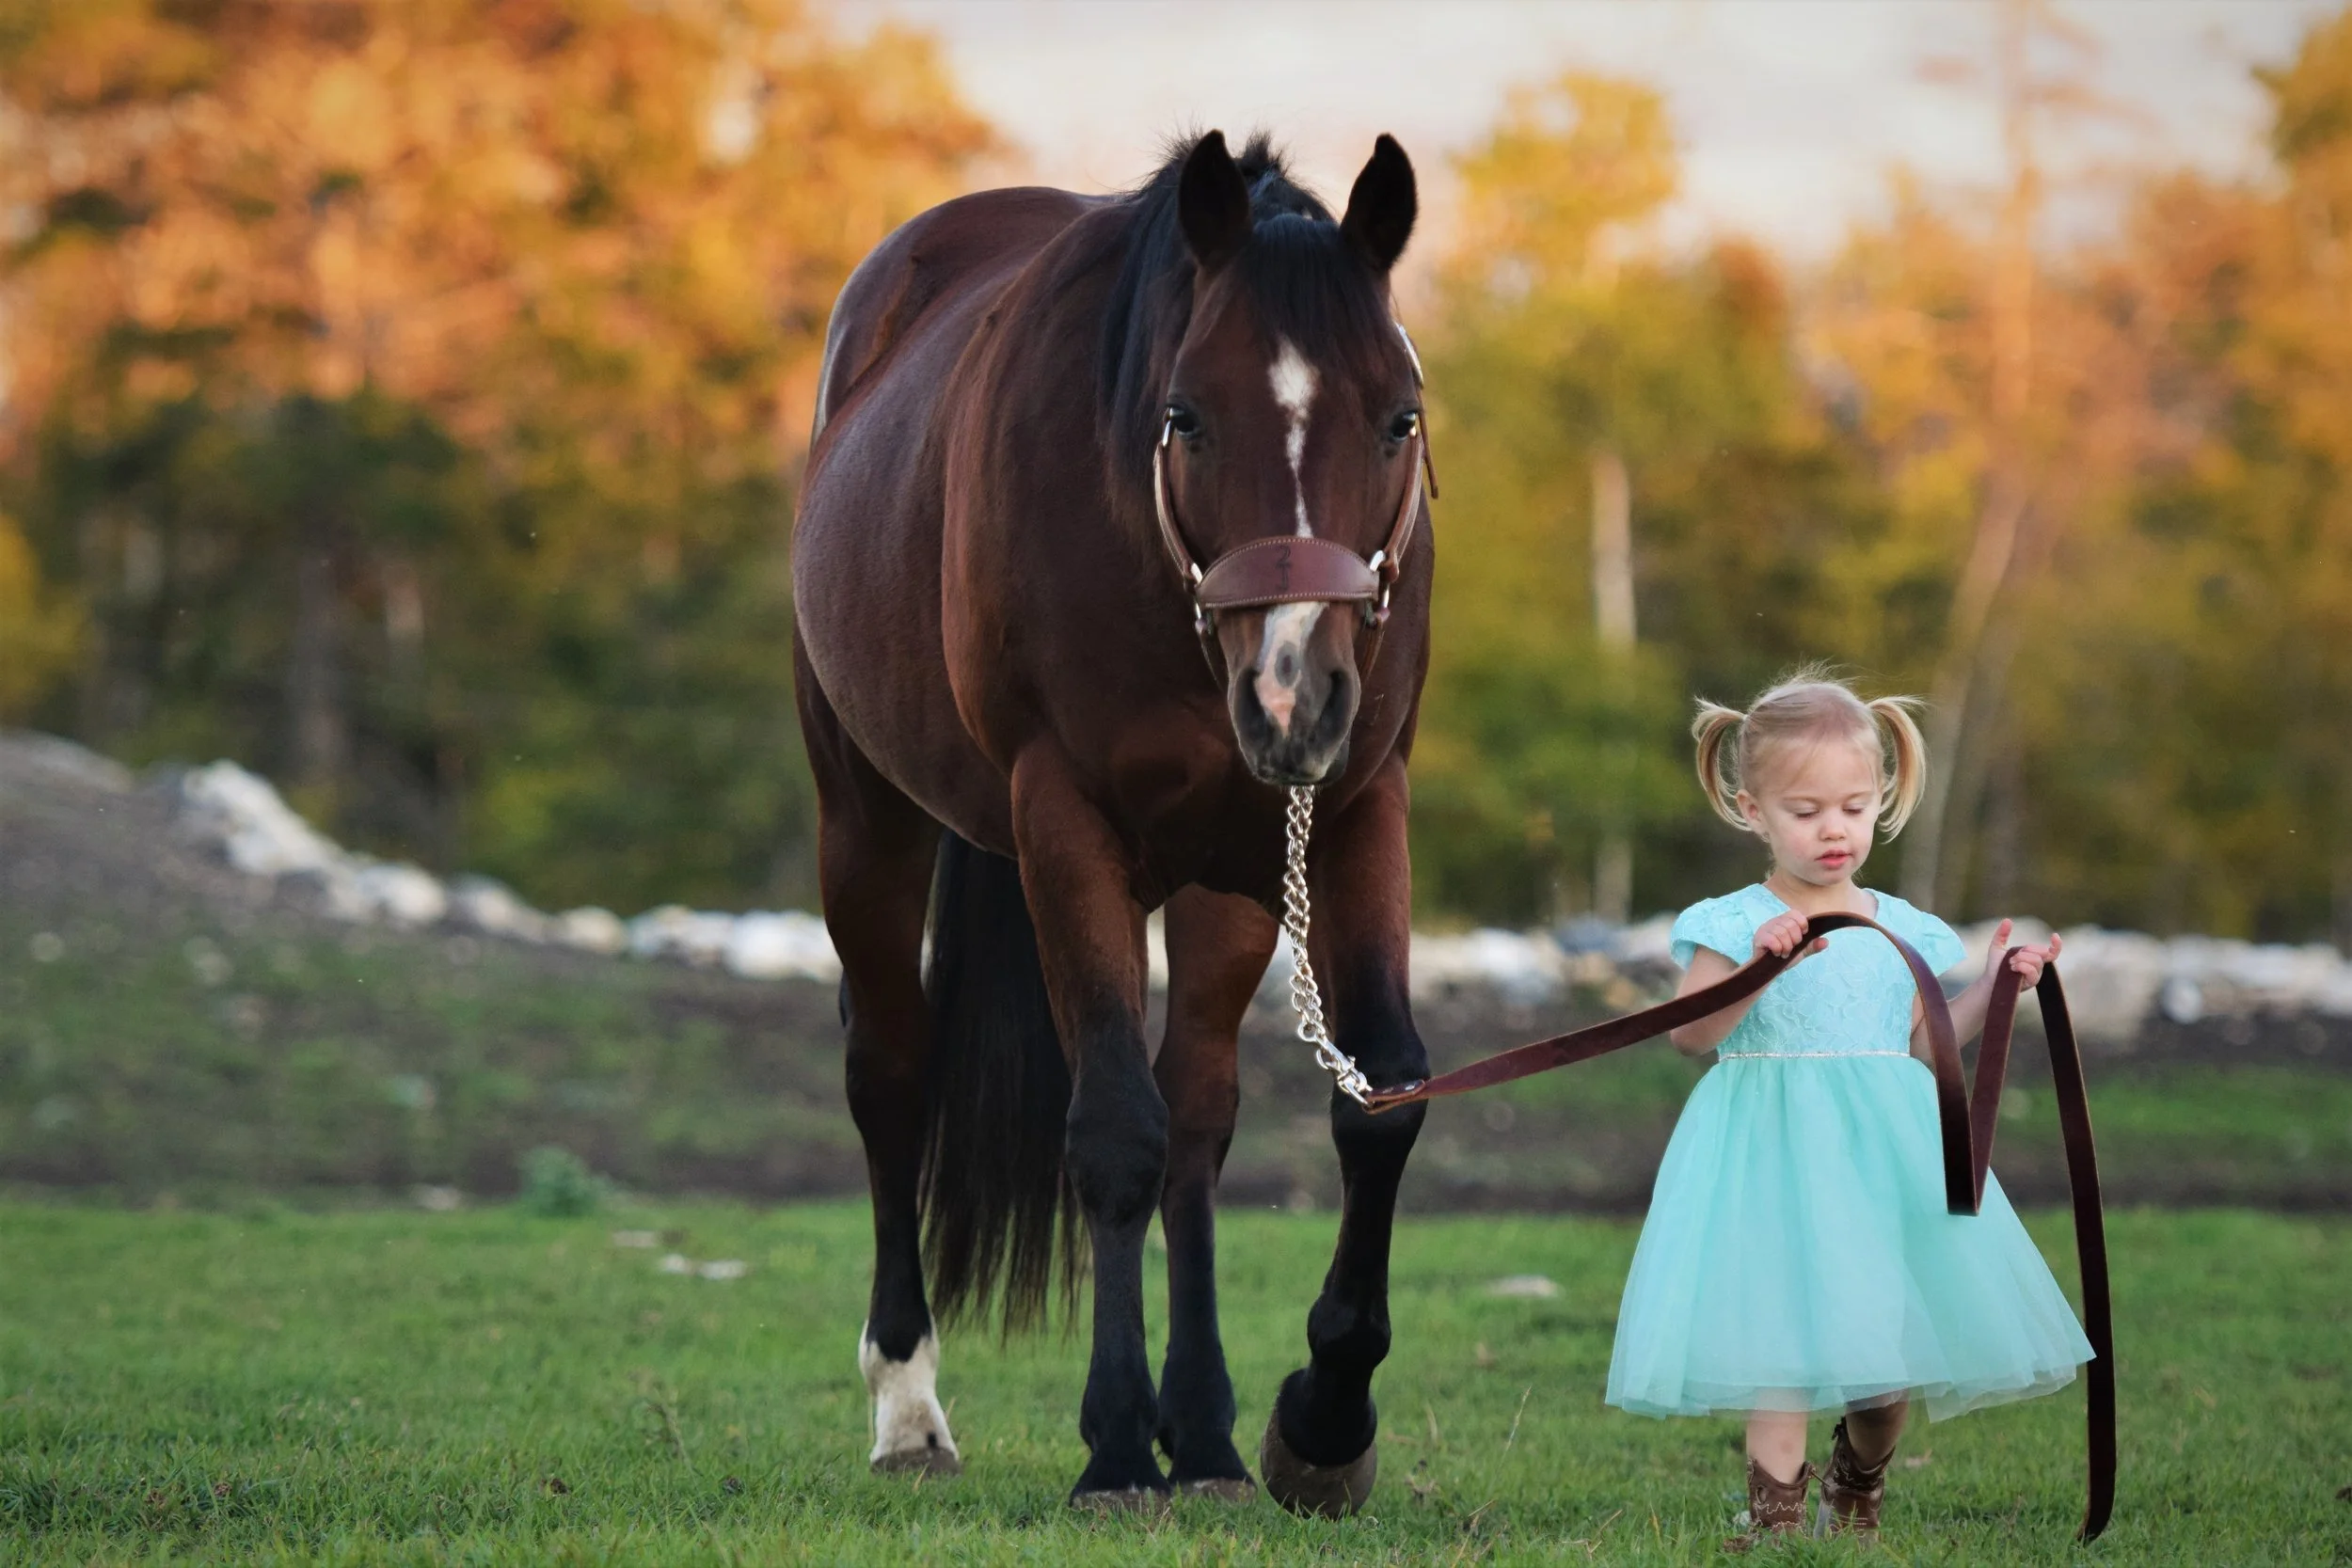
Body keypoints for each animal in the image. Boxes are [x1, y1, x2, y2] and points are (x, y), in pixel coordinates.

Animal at [790, 128, 1433, 1513]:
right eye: (1185, 415)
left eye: (1400, 415)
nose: (1293, 691)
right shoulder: (1062, 822)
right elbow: (1113, 1131)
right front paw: (1114, 1445)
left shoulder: (1348, 811)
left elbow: (1378, 1098)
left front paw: (1318, 1420)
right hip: (865, 816)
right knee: (891, 1074)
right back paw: (908, 1407)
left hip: (1221, 876)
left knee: (1198, 1112)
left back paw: (1208, 1434)